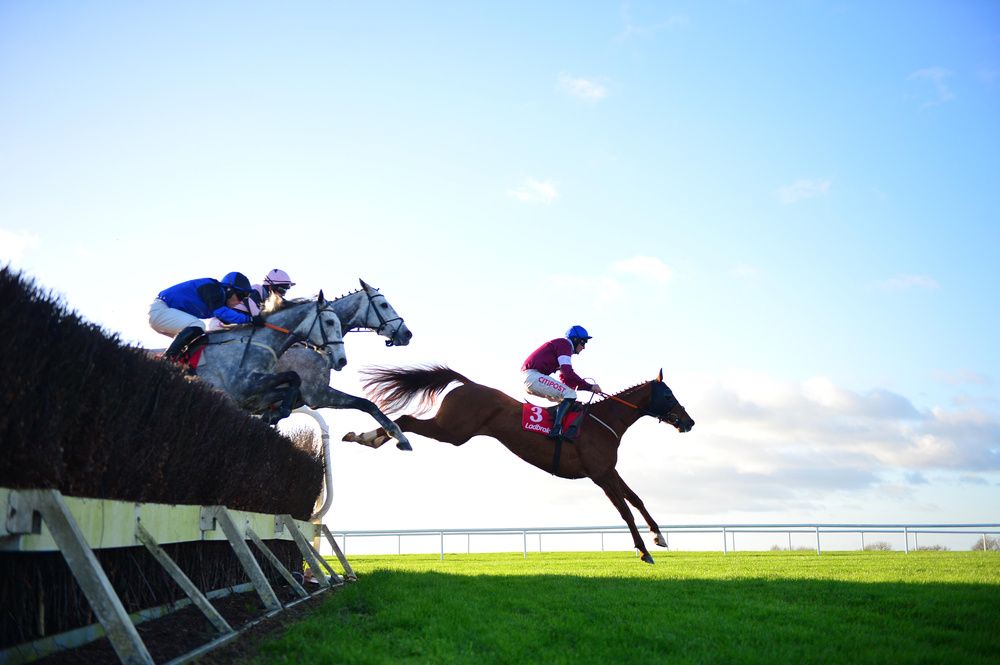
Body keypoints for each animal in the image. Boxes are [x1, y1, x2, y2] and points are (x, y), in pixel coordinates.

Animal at [344, 366, 696, 564]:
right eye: (668, 395)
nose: (689, 422)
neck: (603, 422)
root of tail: (468, 383)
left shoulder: (609, 470)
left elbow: (637, 500)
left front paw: (659, 537)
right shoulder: (600, 474)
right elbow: (624, 510)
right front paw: (644, 551)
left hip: (453, 431)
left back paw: (366, 436)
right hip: (452, 431)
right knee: (406, 420)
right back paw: (376, 436)